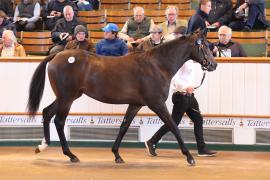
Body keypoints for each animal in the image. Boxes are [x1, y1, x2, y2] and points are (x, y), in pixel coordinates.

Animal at [27, 29, 217, 166]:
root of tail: (57, 55)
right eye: (205, 46)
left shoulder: (135, 104)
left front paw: (117, 155)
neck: (157, 66)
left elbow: (124, 127)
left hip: (66, 97)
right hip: (67, 98)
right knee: (59, 121)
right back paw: (71, 155)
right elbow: (173, 126)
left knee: (47, 113)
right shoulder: (156, 104)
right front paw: (189, 157)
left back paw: (42, 146)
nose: (213, 65)